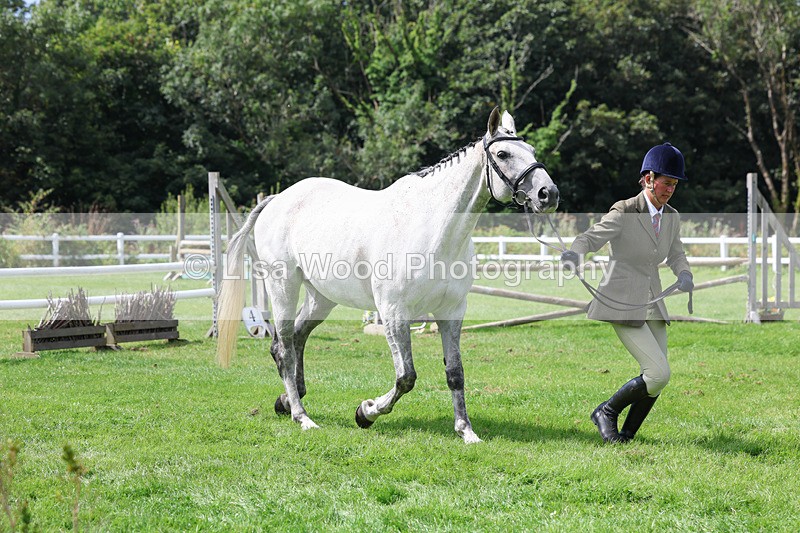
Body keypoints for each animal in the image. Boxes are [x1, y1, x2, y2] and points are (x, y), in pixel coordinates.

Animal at [216, 107, 559, 443]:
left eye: (531, 151)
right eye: (502, 154)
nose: (548, 194)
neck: (434, 229)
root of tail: (278, 199)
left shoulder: (451, 312)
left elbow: (455, 373)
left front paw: (466, 430)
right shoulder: (394, 313)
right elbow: (406, 377)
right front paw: (366, 412)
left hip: (322, 297)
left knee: (297, 338)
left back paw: (288, 400)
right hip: (283, 285)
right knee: (285, 347)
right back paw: (303, 417)